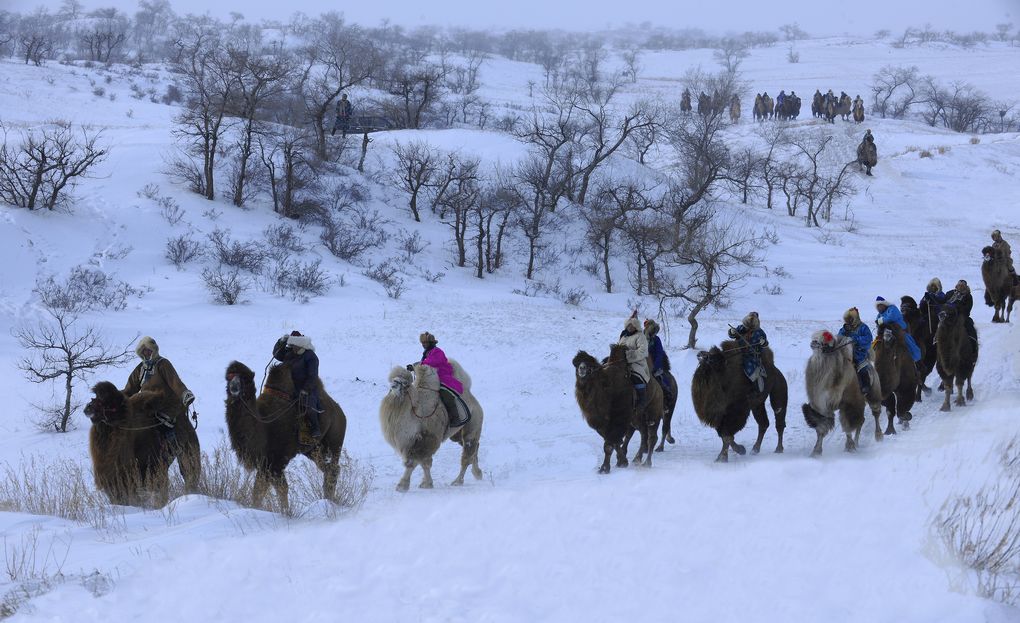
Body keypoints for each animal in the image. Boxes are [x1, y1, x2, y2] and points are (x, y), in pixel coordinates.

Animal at [223, 350, 346, 511]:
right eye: (229, 376)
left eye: (245, 378)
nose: (234, 387)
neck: (263, 425)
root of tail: (340, 412)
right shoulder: (265, 463)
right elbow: (259, 491)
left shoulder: (277, 460)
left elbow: (280, 488)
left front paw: (286, 513)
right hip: (312, 450)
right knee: (328, 469)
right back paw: (328, 499)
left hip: (335, 441)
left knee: (333, 467)